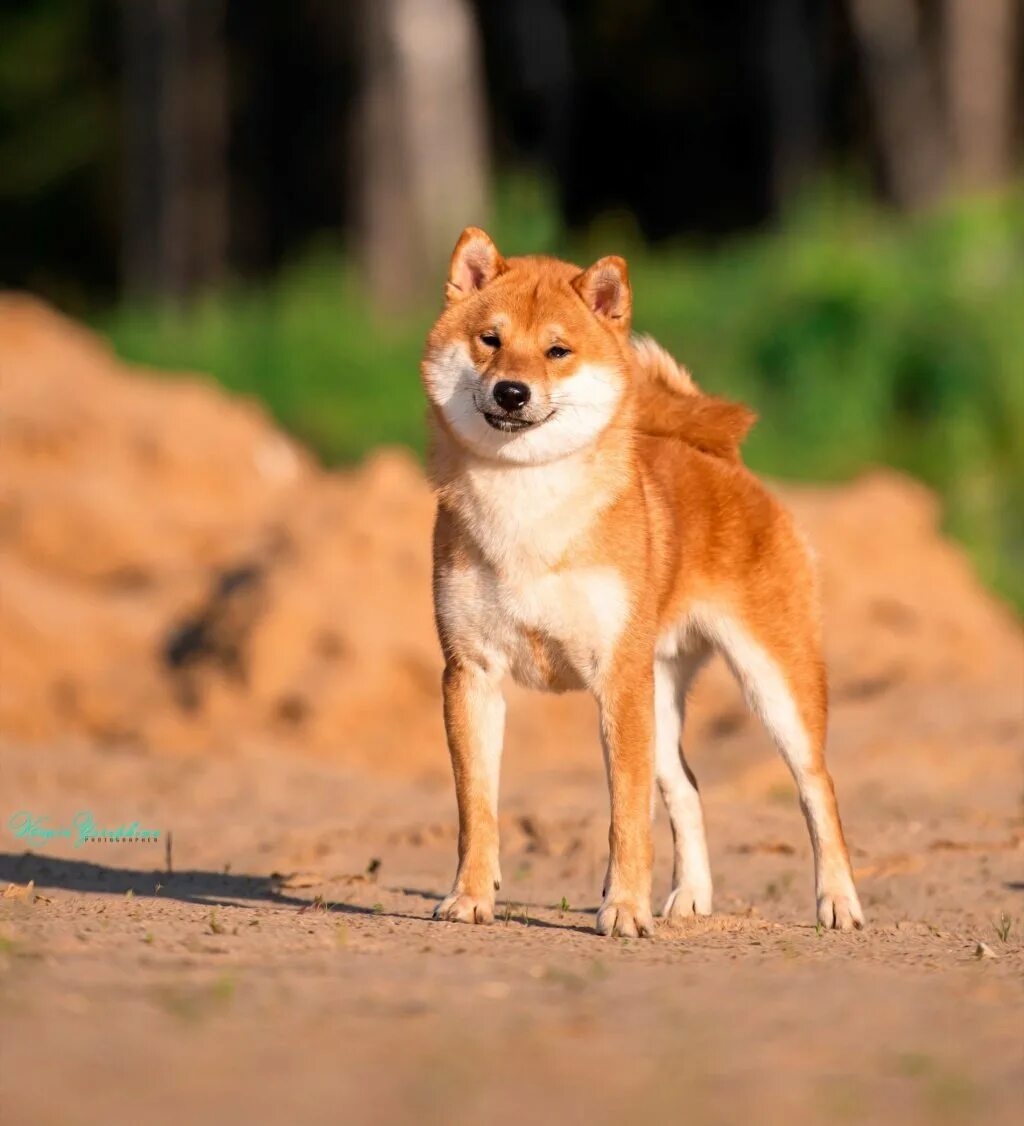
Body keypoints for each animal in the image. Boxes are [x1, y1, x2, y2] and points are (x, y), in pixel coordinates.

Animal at [419, 228, 860, 941]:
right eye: (490, 339)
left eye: (557, 350)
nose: (511, 392)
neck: (525, 503)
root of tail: (725, 461)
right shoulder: (471, 673)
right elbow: (476, 808)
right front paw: (469, 898)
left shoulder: (616, 679)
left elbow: (626, 816)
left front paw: (624, 908)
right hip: (659, 692)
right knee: (686, 788)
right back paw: (689, 898)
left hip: (773, 684)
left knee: (817, 788)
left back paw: (838, 902)